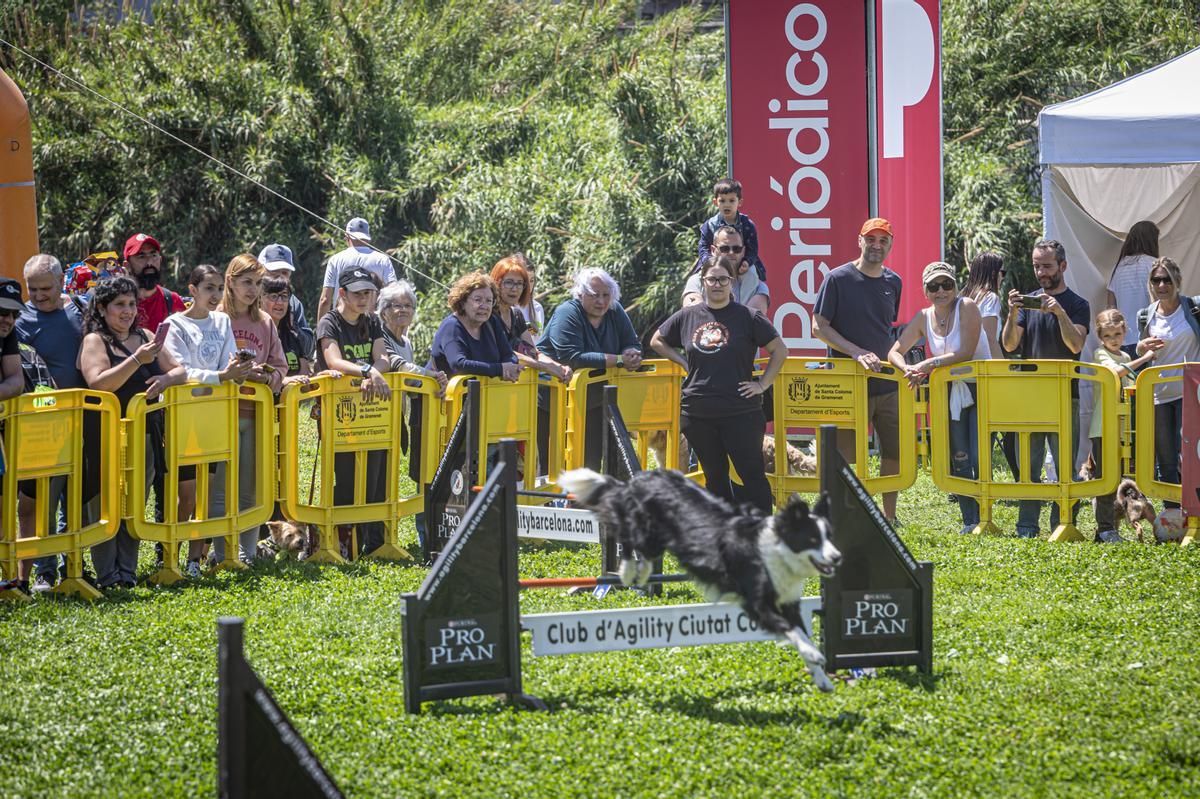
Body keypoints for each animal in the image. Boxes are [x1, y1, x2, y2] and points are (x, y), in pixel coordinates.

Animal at [556, 467, 840, 691]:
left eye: (830, 536)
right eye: (812, 539)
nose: (837, 557)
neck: (778, 550)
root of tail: (640, 478)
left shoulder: (788, 602)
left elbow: (800, 631)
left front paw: (822, 679)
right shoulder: (757, 603)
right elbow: (790, 630)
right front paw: (814, 654)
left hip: (659, 537)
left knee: (642, 549)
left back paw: (643, 573)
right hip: (646, 528)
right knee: (625, 534)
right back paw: (626, 572)